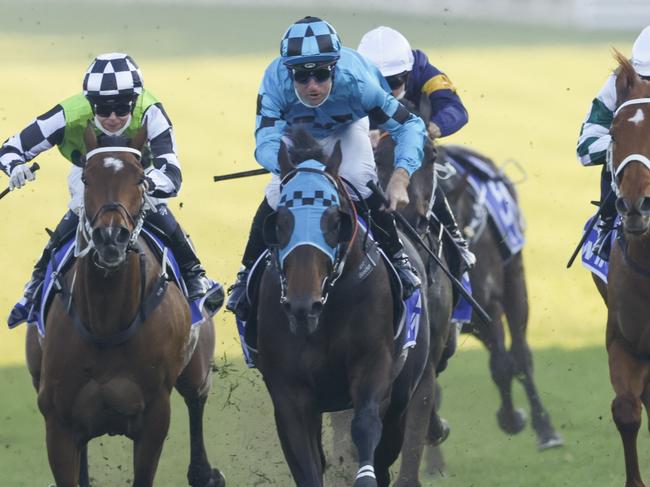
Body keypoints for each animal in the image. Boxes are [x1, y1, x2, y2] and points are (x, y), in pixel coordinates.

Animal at [24, 127, 225, 487]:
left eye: (140, 178)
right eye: (87, 179)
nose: (110, 237)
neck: (106, 322)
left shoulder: (154, 418)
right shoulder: (58, 423)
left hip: (197, 365)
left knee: (196, 398)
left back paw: (204, 472)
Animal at [254, 131, 430, 487]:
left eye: (336, 221)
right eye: (280, 222)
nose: (302, 305)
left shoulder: (373, 364)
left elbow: (364, 426)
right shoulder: (289, 393)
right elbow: (306, 462)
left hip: (403, 394)